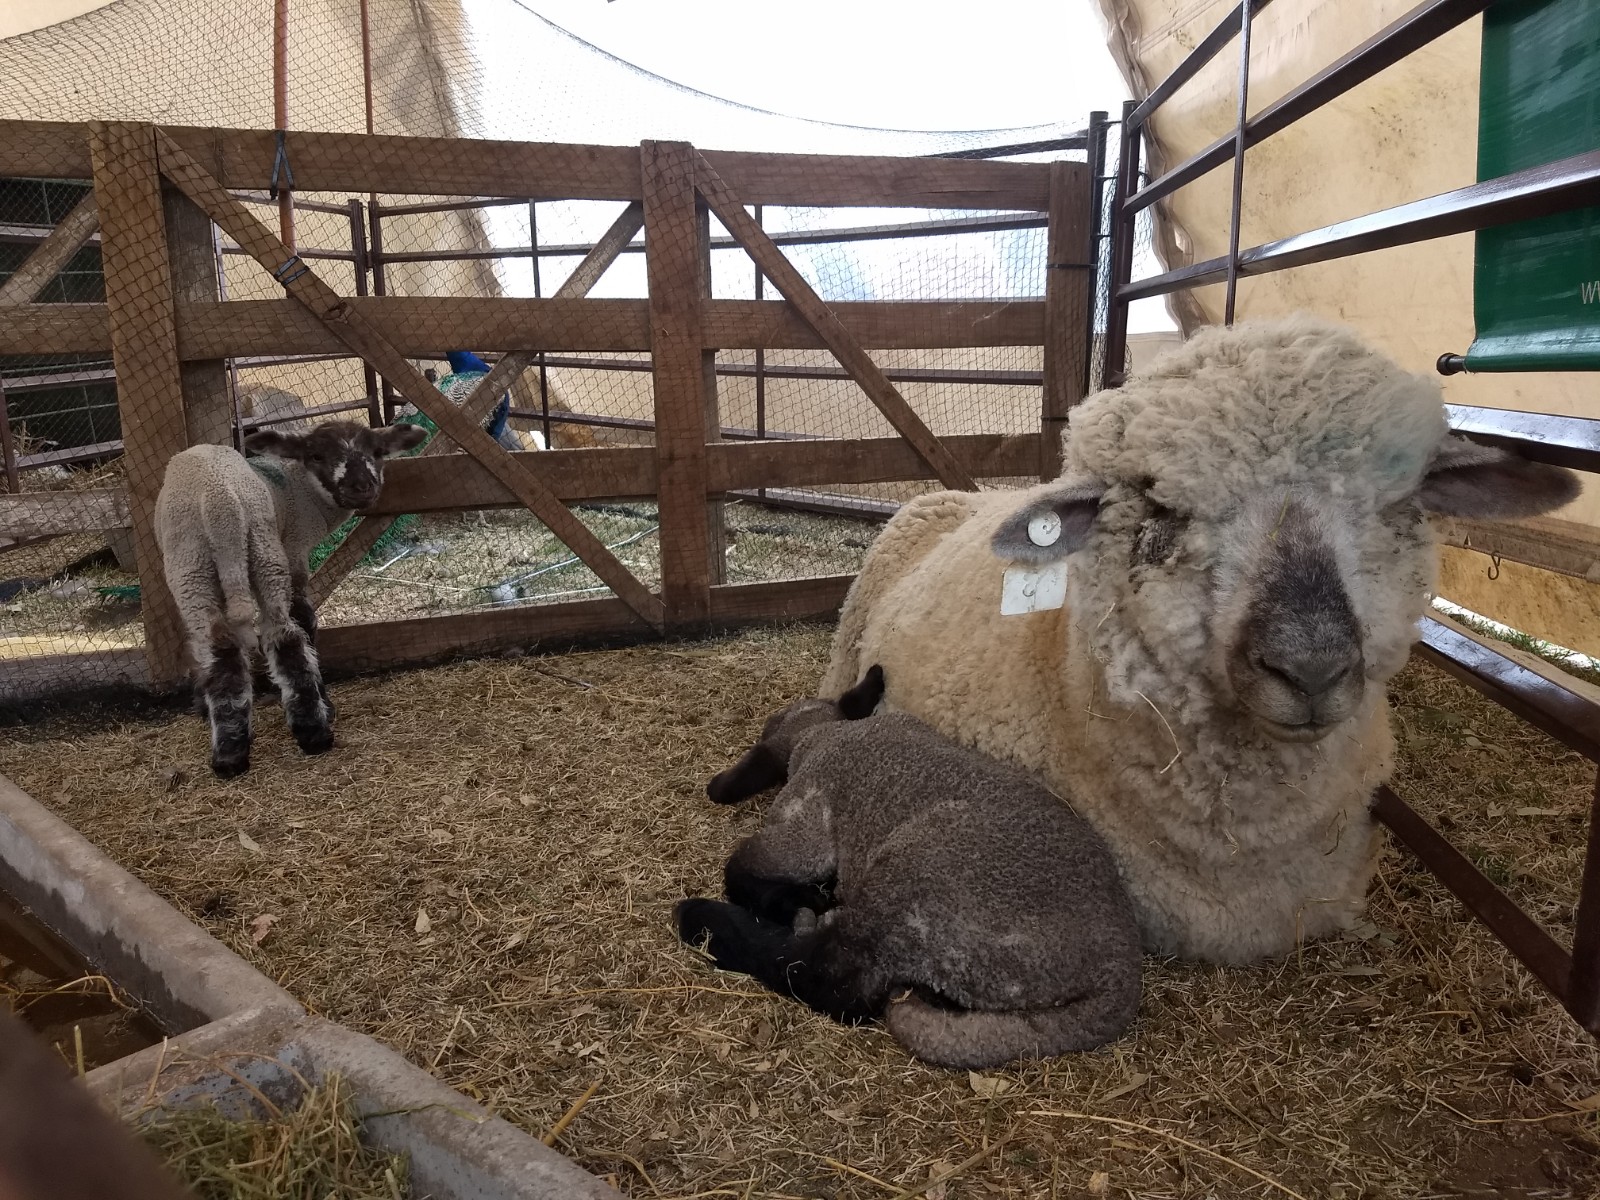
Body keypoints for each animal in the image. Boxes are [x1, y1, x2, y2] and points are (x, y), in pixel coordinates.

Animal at [153, 419, 428, 780]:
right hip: (258, 554)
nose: (361, 487)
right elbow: (306, 620)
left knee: (228, 649)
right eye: (316, 455)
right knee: (280, 638)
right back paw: (307, 733)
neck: (301, 489)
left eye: (378, 452)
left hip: (195, 566)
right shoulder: (295, 547)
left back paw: (233, 753)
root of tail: (221, 505)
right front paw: (326, 703)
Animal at [672, 668, 1139, 1068]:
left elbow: (738, 866)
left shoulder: (806, 821)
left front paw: (796, 899)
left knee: (832, 978)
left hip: (914, 881)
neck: (824, 733)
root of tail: (1119, 971)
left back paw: (708, 918)